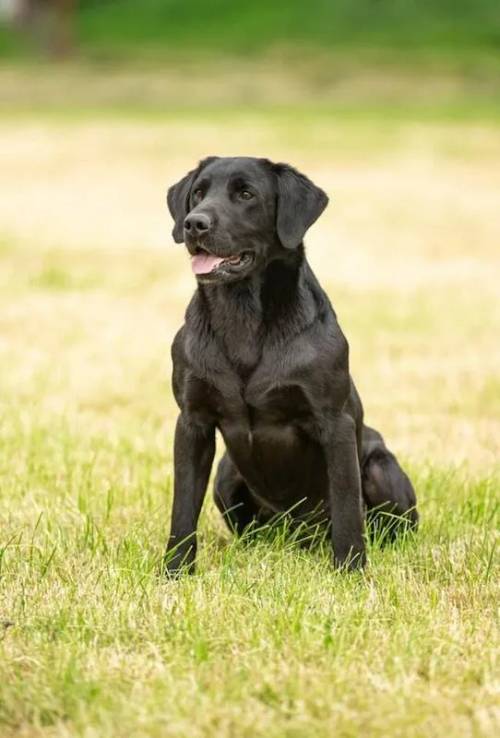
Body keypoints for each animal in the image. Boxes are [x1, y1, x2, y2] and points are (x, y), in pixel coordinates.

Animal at [164, 154, 418, 568]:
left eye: (246, 194)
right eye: (198, 193)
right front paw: (175, 570)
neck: (243, 316)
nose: (194, 223)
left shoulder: (334, 422)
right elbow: (183, 508)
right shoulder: (192, 421)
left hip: (381, 467)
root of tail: (299, 535)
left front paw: (351, 569)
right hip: (226, 474)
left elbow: (347, 506)